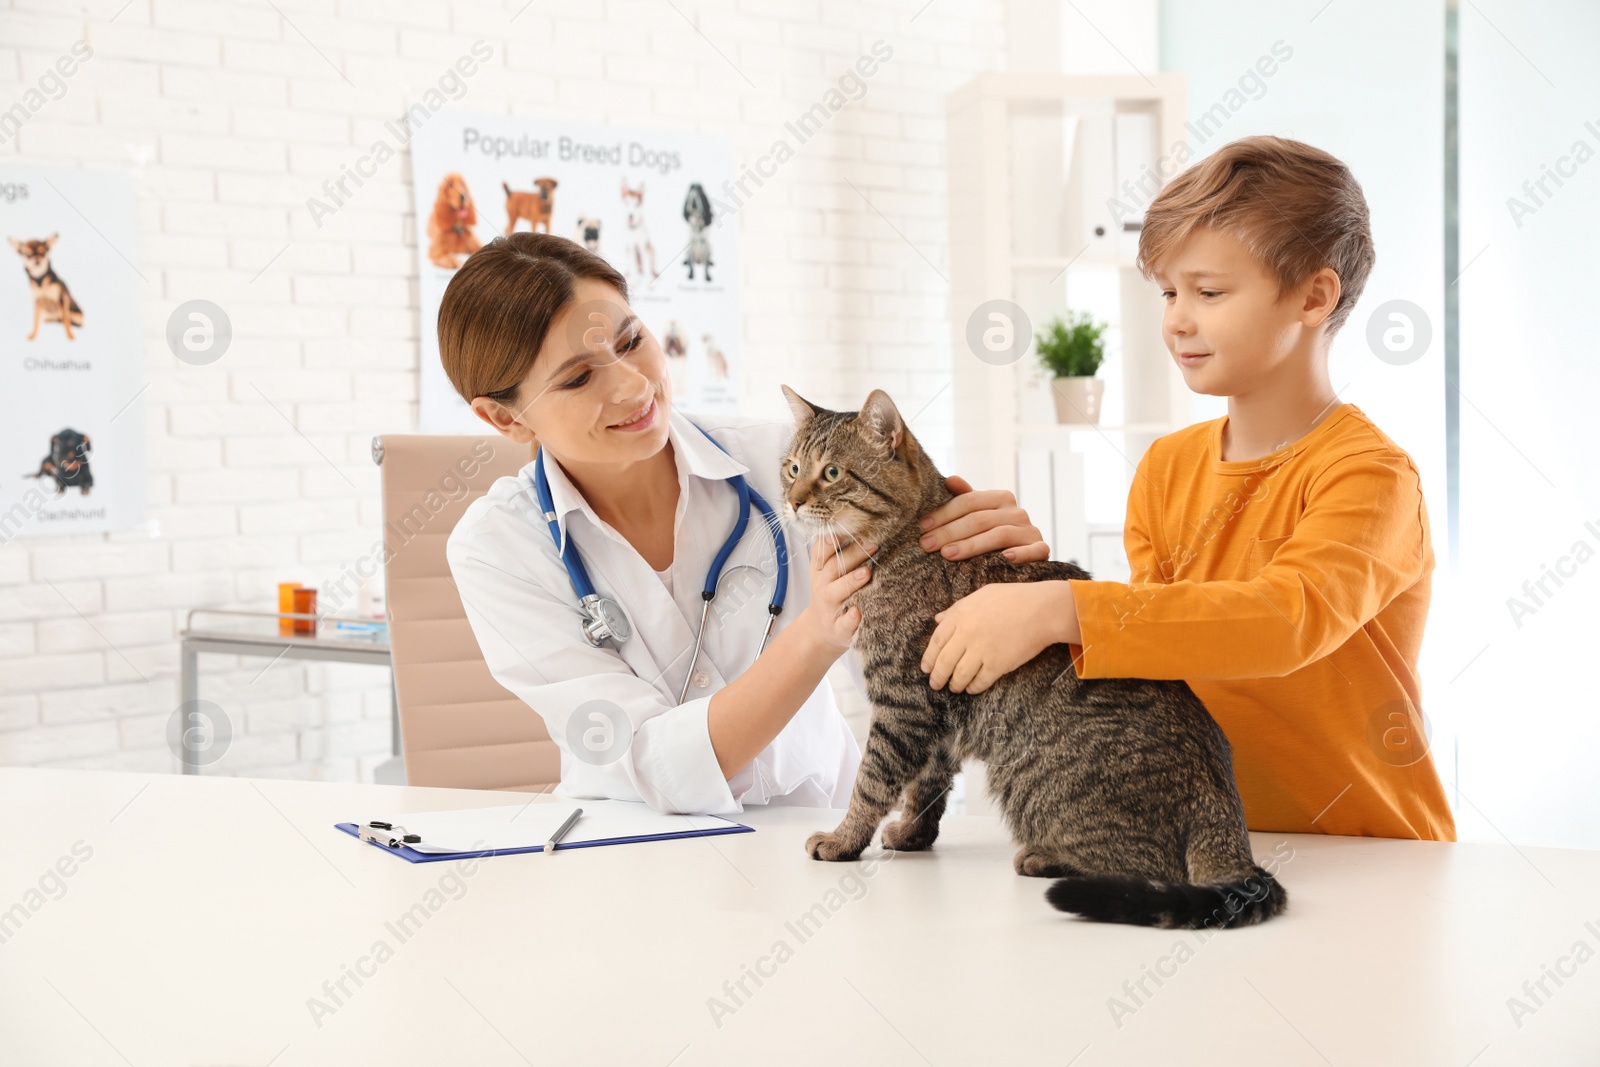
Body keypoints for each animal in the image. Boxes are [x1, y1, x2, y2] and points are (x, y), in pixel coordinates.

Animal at [780, 383, 1292, 927]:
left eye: (832, 473)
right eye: (791, 467)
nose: (791, 502)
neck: (897, 546)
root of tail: (1222, 807)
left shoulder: (903, 701)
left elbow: (872, 782)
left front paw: (843, 839)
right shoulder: (935, 713)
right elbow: (927, 786)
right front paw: (911, 834)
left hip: (1027, 776)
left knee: (1148, 867)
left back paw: (1048, 858)